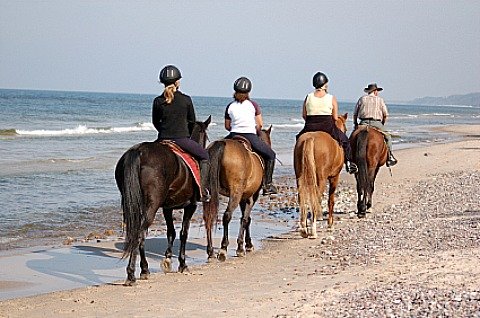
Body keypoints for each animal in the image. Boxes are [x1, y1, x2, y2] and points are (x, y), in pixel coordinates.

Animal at [114, 115, 210, 284]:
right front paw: (182, 264)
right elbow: (183, 233)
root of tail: (139, 151)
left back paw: (144, 269)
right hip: (152, 206)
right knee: (140, 234)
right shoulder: (190, 206)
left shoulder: (167, 207)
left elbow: (171, 232)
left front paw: (168, 259)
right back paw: (132, 274)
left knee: (138, 234)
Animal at [201, 126, 272, 260]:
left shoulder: (244, 197)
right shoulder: (251, 196)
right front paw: (242, 247)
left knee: (208, 216)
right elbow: (245, 219)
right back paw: (223, 249)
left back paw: (211, 251)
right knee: (227, 215)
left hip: (209, 192)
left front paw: (247, 244)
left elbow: (246, 218)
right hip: (235, 193)